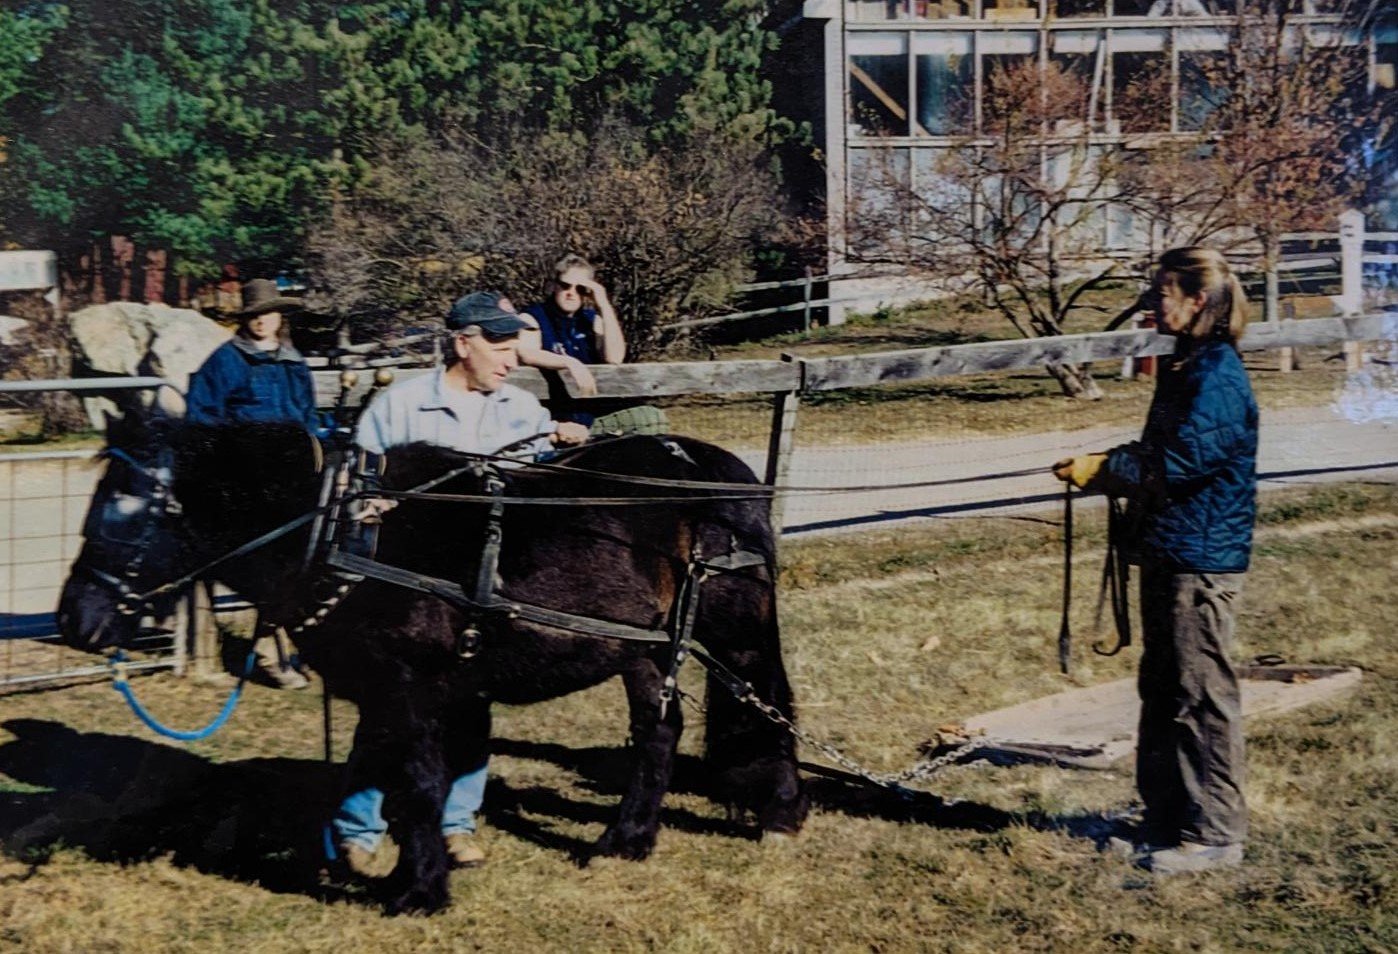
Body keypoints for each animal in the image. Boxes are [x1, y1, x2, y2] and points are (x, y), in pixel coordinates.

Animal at [57, 414, 810, 906]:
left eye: (133, 509)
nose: (74, 620)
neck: (347, 528)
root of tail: (723, 473)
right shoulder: (379, 692)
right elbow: (374, 774)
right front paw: (366, 855)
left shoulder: (411, 688)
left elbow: (418, 786)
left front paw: (418, 890)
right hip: (644, 648)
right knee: (659, 732)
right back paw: (625, 839)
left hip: (733, 630)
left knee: (767, 703)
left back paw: (780, 813)